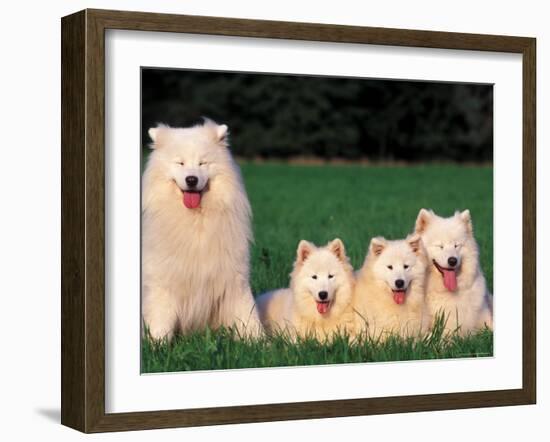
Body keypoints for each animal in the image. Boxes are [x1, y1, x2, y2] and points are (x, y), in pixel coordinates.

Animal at [142, 119, 264, 340]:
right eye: (180, 163)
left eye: (202, 163)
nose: (191, 179)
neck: (196, 222)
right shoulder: (163, 283)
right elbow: (160, 320)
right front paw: (157, 343)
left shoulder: (234, 279)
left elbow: (247, 315)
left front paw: (259, 342)